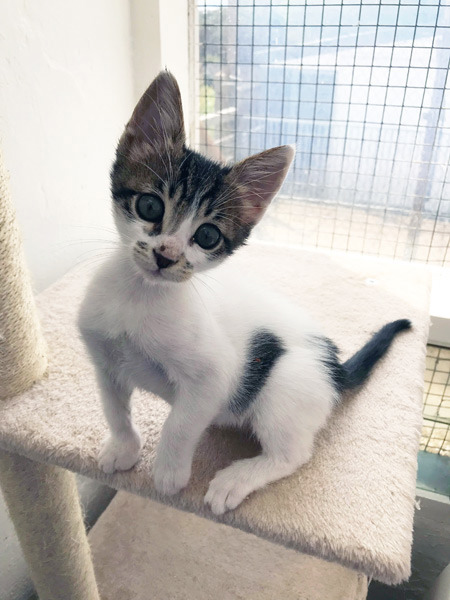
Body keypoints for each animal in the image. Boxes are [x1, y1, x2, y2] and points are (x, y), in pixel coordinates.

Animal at [78, 72, 412, 516]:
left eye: (207, 236)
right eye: (149, 206)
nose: (166, 256)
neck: (140, 297)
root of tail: (335, 369)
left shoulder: (214, 376)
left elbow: (179, 424)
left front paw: (168, 473)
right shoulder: (104, 361)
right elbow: (113, 408)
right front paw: (123, 448)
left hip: (286, 383)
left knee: (293, 454)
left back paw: (237, 478)